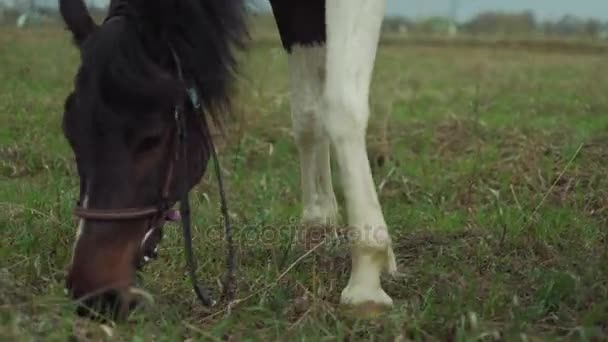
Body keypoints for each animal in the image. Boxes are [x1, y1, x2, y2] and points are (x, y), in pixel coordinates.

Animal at [59, 0, 396, 320]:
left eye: (152, 138)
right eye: (71, 135)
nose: (94, 296)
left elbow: (341, 107)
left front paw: (366, 278)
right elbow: (308, 113)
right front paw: (320, 229)